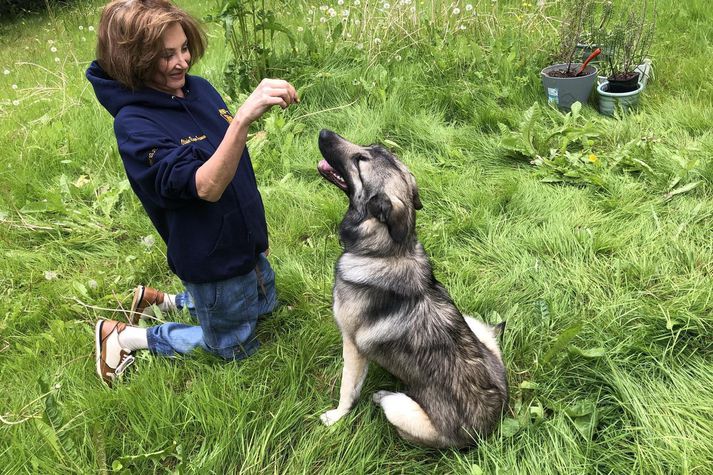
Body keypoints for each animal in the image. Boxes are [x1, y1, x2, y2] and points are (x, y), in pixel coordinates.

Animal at [316, 128, 506, 448]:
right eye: (371, 147)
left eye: (360, 160)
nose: (323, 132)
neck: (388, 251)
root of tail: (485, 432)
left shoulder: (352, 347)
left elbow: (347, 388)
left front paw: (336, 417)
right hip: (474, 325)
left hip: (401, 410)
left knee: (390, 403)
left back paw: (382, 394)